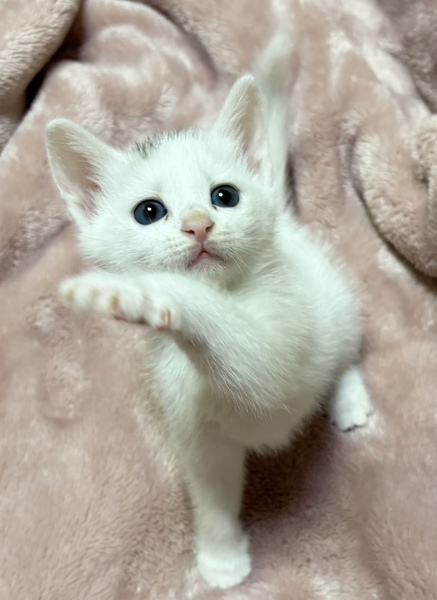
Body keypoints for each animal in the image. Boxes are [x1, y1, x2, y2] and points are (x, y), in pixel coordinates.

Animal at [45, 34, 372, 589]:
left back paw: (349, 399)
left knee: (345, 347)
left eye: (224, 196)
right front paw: (221, 557)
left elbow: (245, 348)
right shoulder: (197, 435)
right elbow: (211, 489)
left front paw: (146, 293)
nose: (199, 224)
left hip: (334, 300)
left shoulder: (283, 332)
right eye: (149, 211)